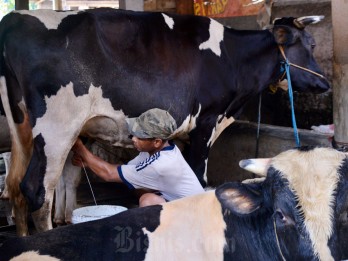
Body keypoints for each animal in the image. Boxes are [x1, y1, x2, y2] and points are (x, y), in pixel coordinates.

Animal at [0, 9, 328, 235]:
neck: (233, 59)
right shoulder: (206, 122)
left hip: (25, 131)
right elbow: (199, 179)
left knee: (16, 186)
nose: (325, 84)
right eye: (310, 44)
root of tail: (14, 19)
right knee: (36, 190)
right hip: (55, 130)